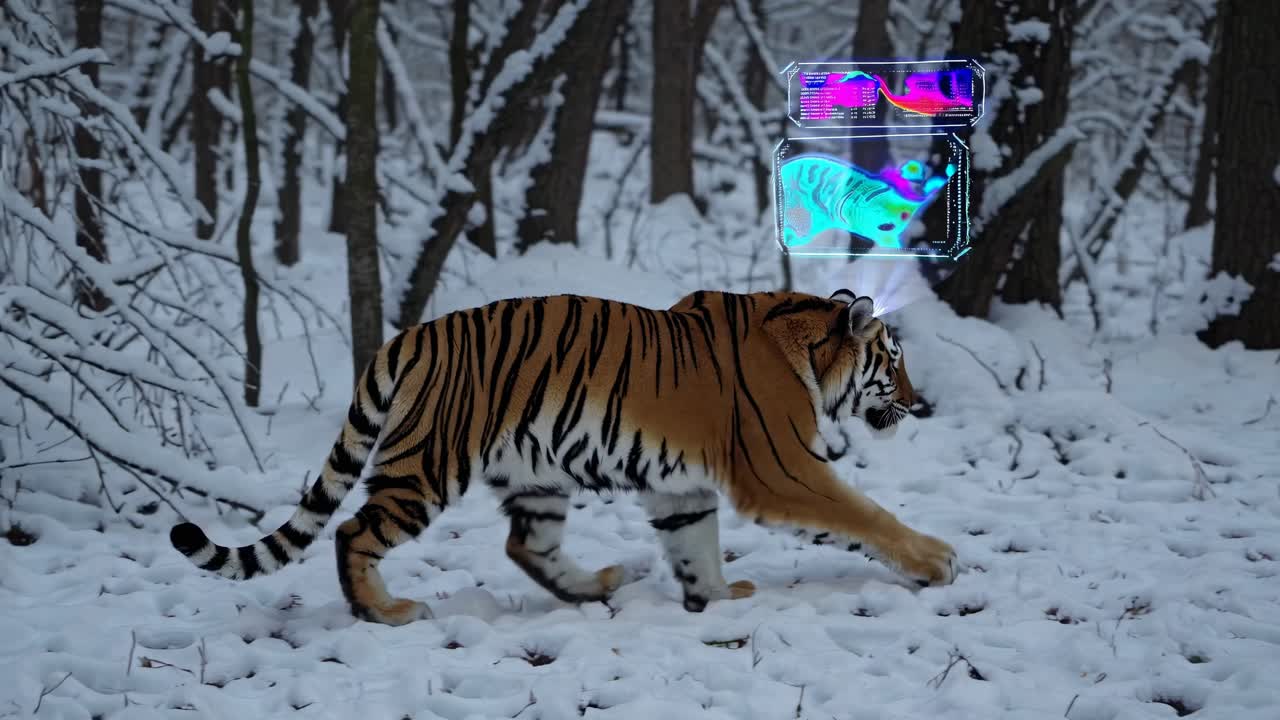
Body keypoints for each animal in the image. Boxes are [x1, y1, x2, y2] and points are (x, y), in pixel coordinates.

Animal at [170, 289, 958, 625]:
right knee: (353, 530)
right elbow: (865, 515)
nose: (920, 402)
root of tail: (407, 336)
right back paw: (385, 612)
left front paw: (714, 599)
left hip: (535, 473)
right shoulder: (781, 468)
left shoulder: (682, 487)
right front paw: (938, 562)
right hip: (428, 465)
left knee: (527, 545)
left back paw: (596, 586)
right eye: (894, 360)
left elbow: (695, 543)